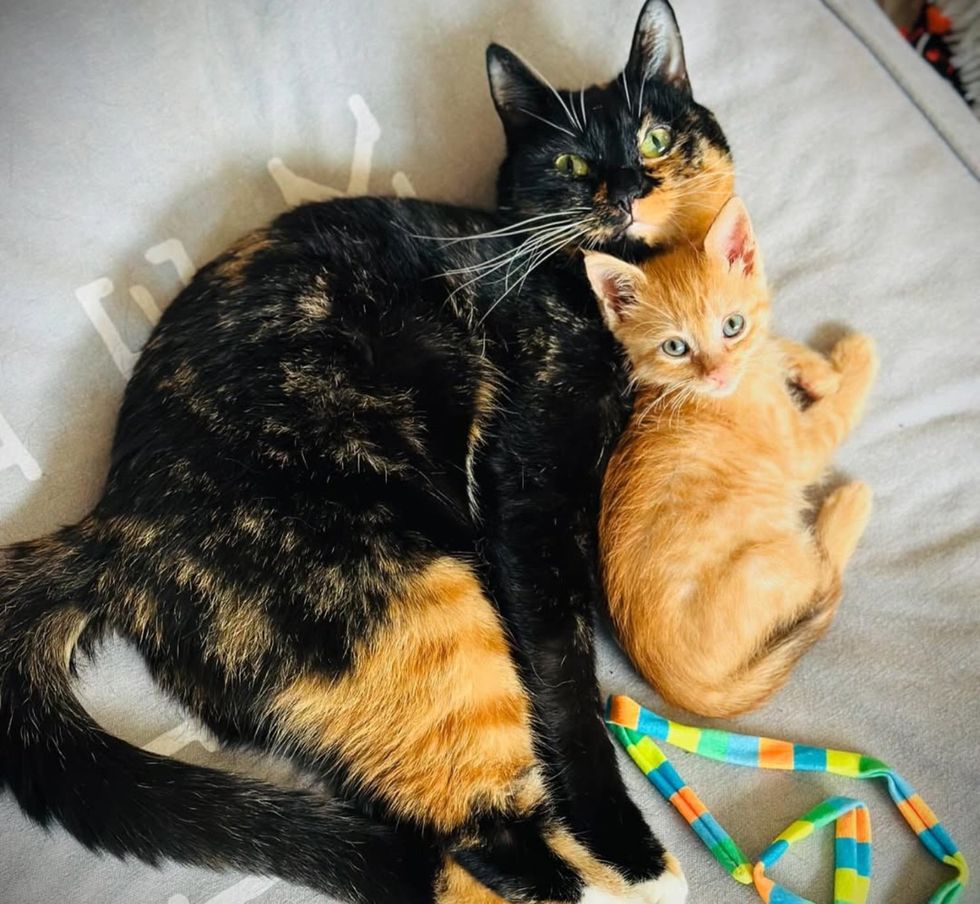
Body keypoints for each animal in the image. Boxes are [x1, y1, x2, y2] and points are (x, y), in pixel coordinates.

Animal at [0, 3, 732, 900]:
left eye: (655, 137)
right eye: (570, 161)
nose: (628, 187)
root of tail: (111, 527)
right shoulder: (529, 501)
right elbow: (567, 683)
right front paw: (630, 846)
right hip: (412, 599)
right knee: (476, 828)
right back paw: (612, 880)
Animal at [584, 198, 876, 720]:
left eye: (732, 325)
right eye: (675, 347)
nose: (717, 374)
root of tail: (688, 690)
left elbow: (770, 340)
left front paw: (816, 368)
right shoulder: (799, 447)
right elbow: (838, 414)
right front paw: (855, 360)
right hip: (779, 555)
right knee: (824, 573)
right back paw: (848, 505)